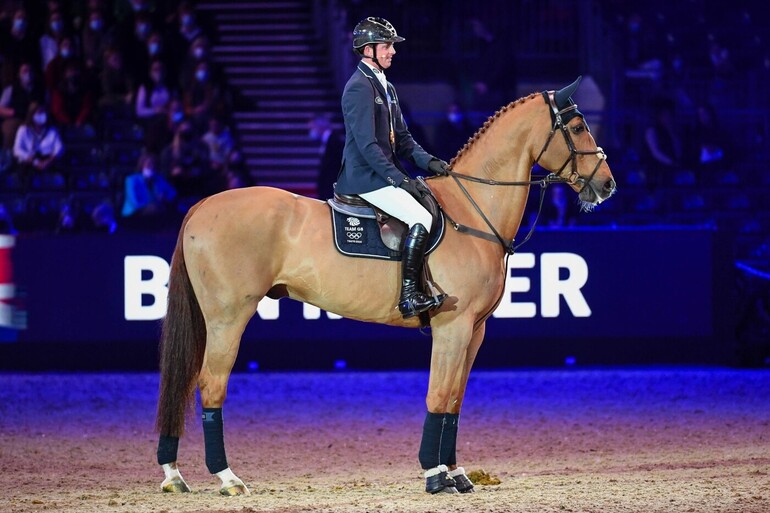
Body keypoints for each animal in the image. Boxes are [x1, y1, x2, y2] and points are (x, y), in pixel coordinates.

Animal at [154, 77, 616, 495]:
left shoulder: (475, 330)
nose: (607, 184)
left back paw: (174, 475)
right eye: (578, 127)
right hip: (228, 317)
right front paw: (435, 475)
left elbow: (455, 400)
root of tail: (201, 205)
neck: (472, 209)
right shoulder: (452, 327)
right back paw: (227, 478)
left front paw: (456, 472)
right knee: (210, 384)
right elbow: (438, 395)